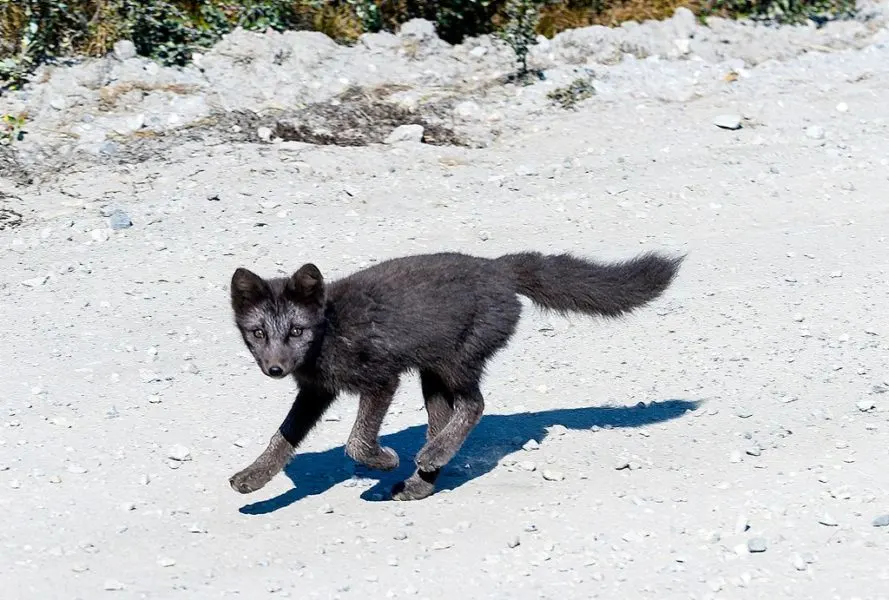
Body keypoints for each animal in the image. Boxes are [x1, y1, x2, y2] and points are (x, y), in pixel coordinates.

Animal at [227, 248, 680, 502]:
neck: (330, 331)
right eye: (258, 333)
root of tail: (497, 268)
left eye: (296, 331)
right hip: (432, 374)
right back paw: (422, 482)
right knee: (446, 419)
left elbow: (356, 443)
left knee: (475, 405)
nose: (275, 369)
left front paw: (383, 460)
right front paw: (254, 477)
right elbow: (283, 437)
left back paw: (430, 458)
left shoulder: (382, 378)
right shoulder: (316, 391)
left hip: (455, 361)